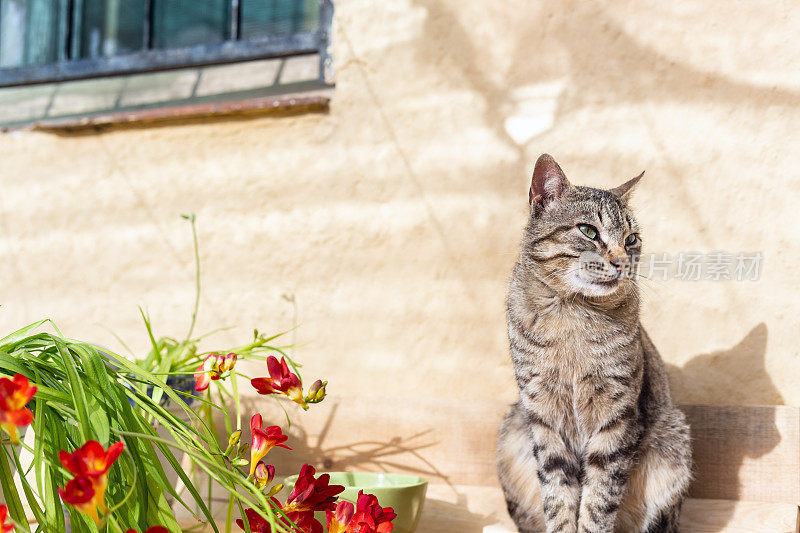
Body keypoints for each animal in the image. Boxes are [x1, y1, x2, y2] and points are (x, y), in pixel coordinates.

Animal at [496, 155, 692, 532]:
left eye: (631, 239)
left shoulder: (617, 415)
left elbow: (600, 496)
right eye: (588, 231)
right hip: (513, 430)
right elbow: (558, 494)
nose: (621, 261)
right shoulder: (543, 414)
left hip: (673, 443)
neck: (572, 313)